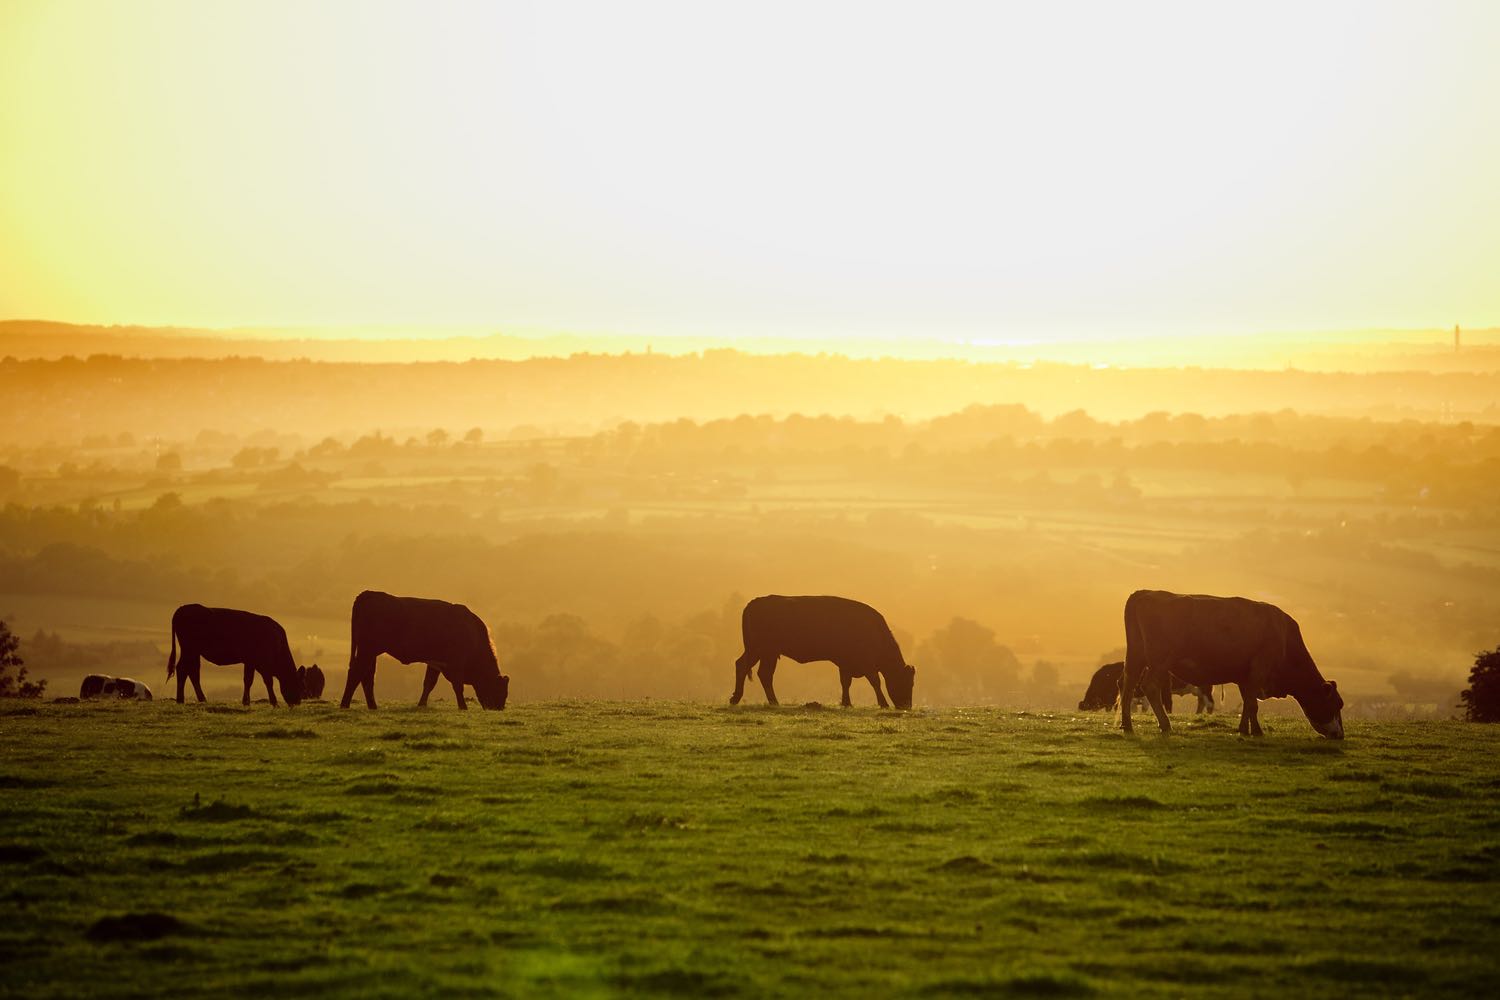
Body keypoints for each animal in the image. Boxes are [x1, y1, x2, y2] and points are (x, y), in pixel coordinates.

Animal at [166, 605, 304, 707]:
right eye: (299, 685)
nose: (297, 702)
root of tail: (183, 608)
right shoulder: (263, 663)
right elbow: (268, 681)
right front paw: (274, 702)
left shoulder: (250, 662)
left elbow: (248, 680)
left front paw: (246, 702)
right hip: (189, 649)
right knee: (185, 669)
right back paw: (185, 699)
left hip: (192, 651)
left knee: (190, 671)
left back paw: (194, 699)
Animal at [340, 593, 510, 710]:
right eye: (500, 690)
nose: (498, 708)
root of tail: (369, 593)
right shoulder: (456, 663)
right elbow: (457, 686)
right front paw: (463, 707)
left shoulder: (435, 663)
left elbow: (429, 683)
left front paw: (421, 704)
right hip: (367, 650)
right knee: (356, 672)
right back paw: (345, 704)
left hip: (371, 652)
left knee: (367, 676)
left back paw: (372, 706)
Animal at [729, 593, 912, 710]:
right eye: (906, 682)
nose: (907, 706)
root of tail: (754, 602)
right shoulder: (866, 664)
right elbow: (875, 681)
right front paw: (883, 704)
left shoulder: (845, 663)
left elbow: (845, 682)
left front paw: (846, 703)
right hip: (762, 650)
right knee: (755, 670)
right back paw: (761, 700)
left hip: (765, 653)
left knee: (752, 669)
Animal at [1122, 590, 1344, 740]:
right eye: (1336, 704)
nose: (1340, 735)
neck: (1284, 638)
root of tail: (1146, 593)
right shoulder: (1259, 669)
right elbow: (1253, 704)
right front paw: (1257, 731)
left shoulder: (1245, 676)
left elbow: (1247, 702)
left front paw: (1245, 729)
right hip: (1159, 660)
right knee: (1149, 686)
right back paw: (1165, 724)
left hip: (1136, 655)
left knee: (1128, 685)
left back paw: (1127, 725)